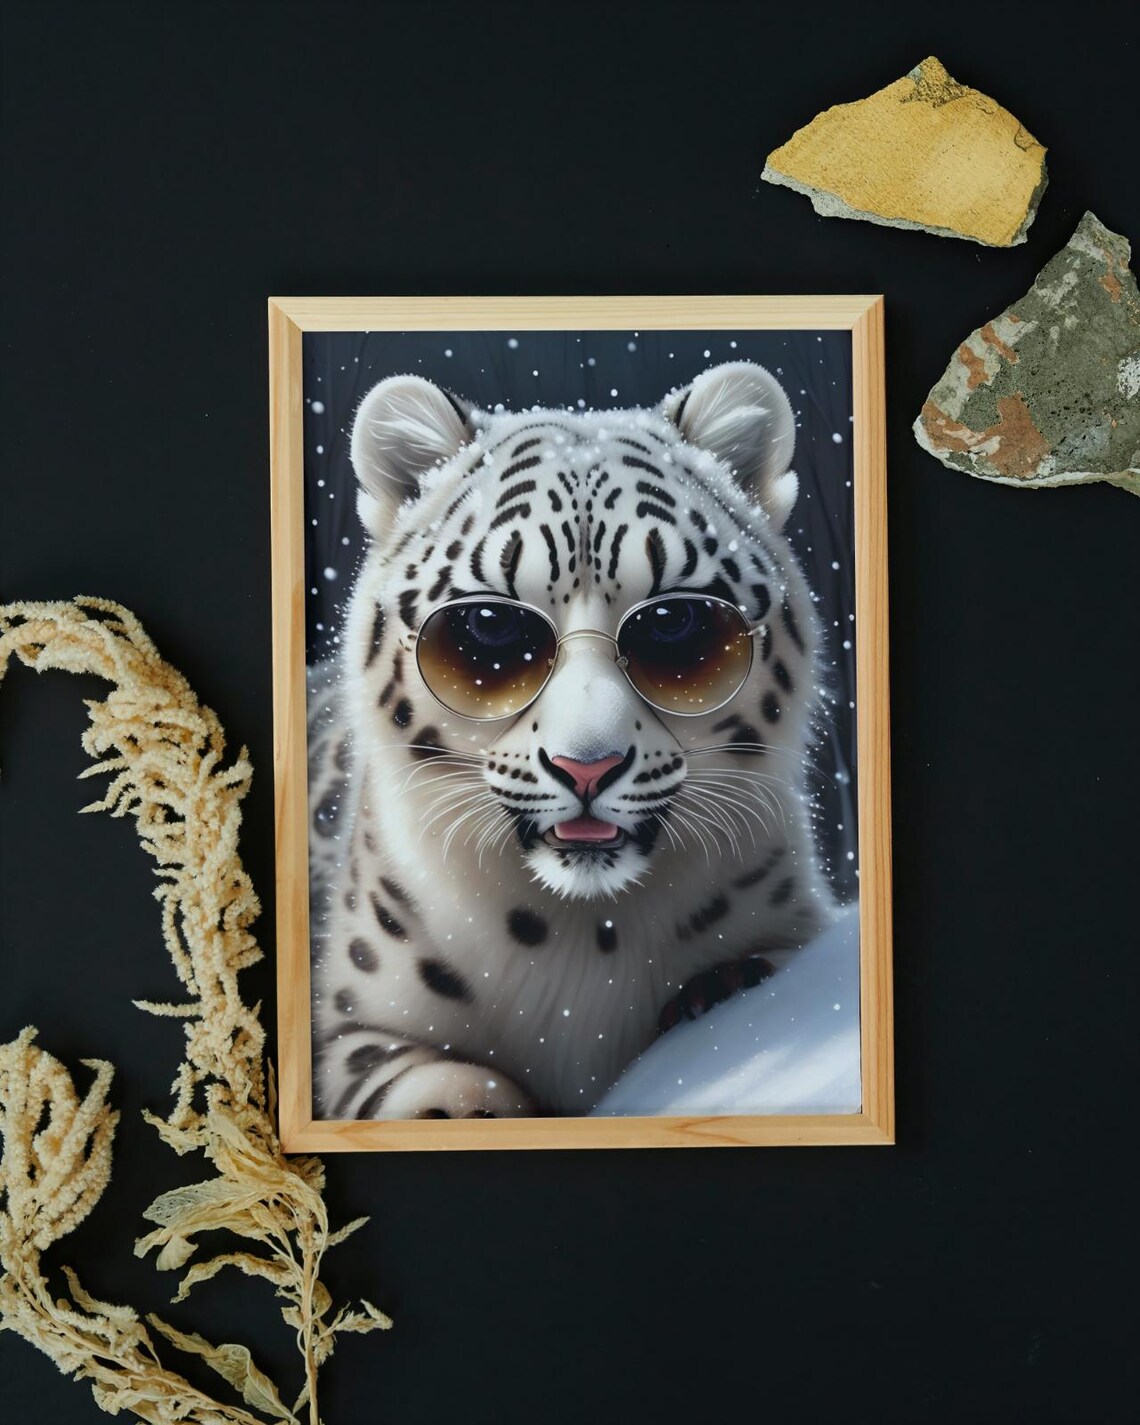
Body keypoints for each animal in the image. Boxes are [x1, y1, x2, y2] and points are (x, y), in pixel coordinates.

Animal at [308, 360, 838, 1119]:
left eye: (673, 622)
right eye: (491, 626)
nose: (587, 766)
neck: (586, 937)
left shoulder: (795, 929)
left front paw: (717, 996)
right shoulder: (351, 1028)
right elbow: (420, 1082)